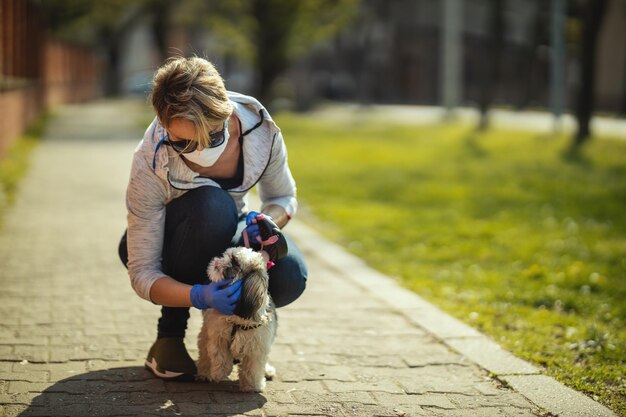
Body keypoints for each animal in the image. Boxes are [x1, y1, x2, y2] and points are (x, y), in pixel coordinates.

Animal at [196, 245, 276, 392]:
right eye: (227, 255)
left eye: (234, 261)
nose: (220, 259)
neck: (237, 321)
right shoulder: (217, 335)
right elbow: (219, 355)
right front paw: (219, 372)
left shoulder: (257, 348)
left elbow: (253, 368)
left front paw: (252, 386)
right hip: (205, 335)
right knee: (204, 354)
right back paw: (204, 373)